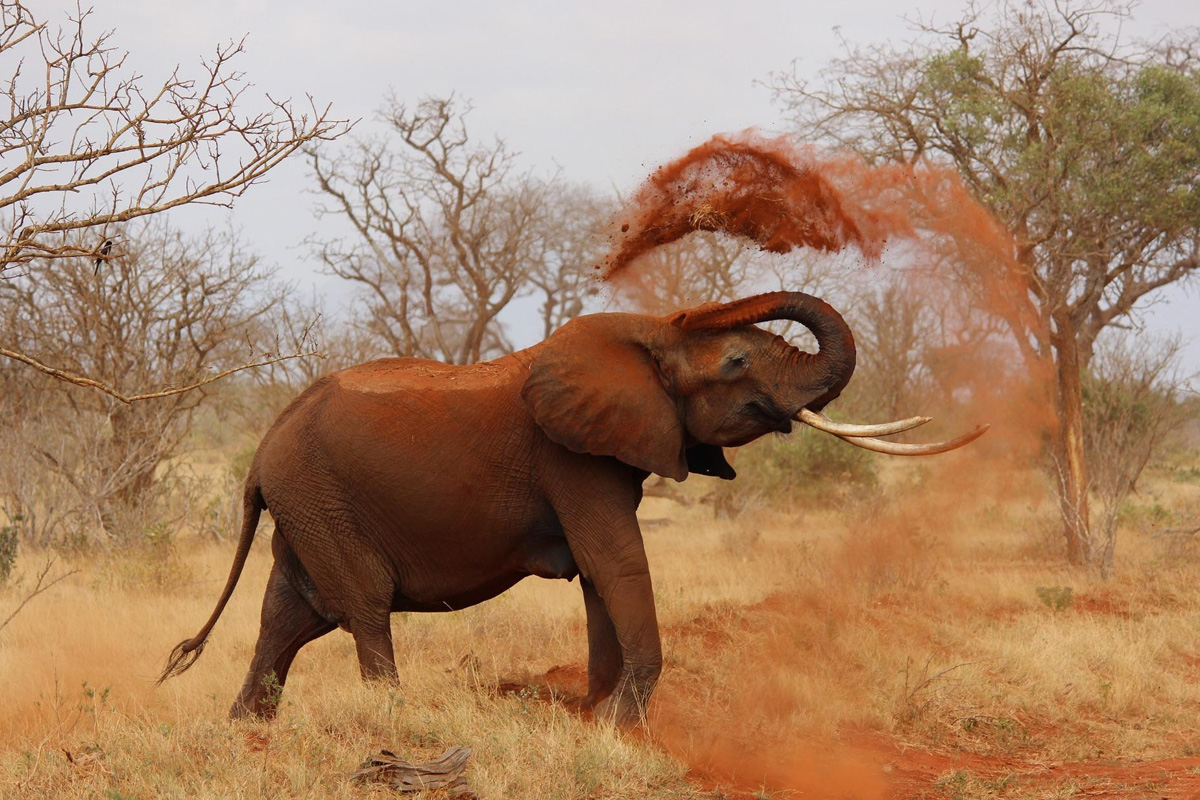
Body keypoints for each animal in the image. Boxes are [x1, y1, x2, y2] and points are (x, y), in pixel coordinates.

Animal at [159, 291, 983, 726]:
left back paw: (246, 732)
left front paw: (595, 715)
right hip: (320, 497)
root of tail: (263, 448)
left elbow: (598, 575)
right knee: (360, 606)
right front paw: (621, 725)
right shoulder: (572, 459)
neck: (647, 336)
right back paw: (394, 720)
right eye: (738, 361)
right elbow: (615, 561)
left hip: (306, 504)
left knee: (289, 615)